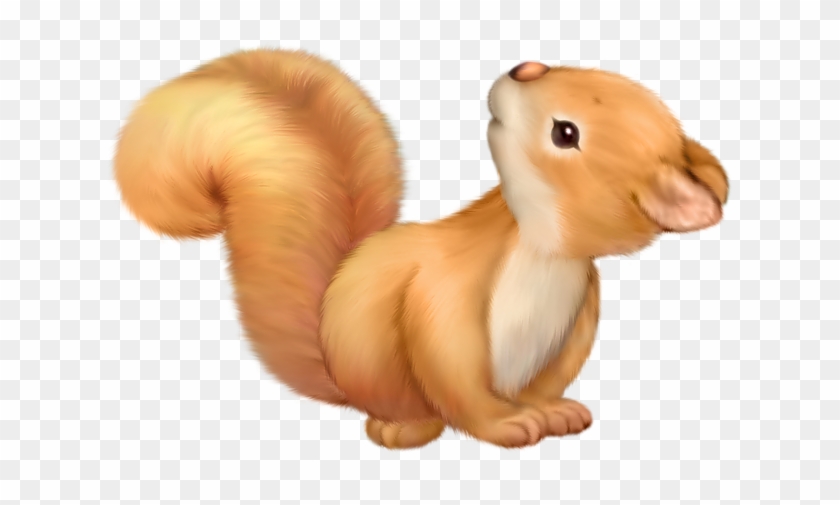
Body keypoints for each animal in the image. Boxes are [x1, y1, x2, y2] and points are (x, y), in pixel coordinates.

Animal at [114, 49, 729, 449]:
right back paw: (406, 428)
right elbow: (451, 364)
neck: (541, 250)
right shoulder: (447, 290)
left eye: (566, 133)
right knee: (417, 410)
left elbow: (551, 377)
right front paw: (506, 426)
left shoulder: (582, 306)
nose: (523, 67)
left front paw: (549, 412)